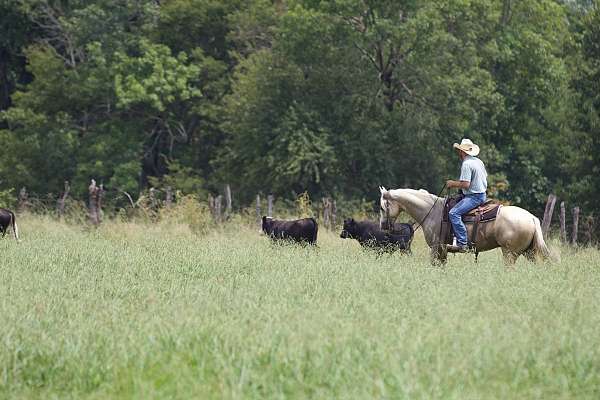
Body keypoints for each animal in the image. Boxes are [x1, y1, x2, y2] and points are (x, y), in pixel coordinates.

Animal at [380, 188, 552, 266]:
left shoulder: (436, 247)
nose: (383, 226)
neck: (432, 211)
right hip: (529, 252)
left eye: (382, 207)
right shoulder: (442, 250)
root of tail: (531, 218)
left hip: (510, 253)